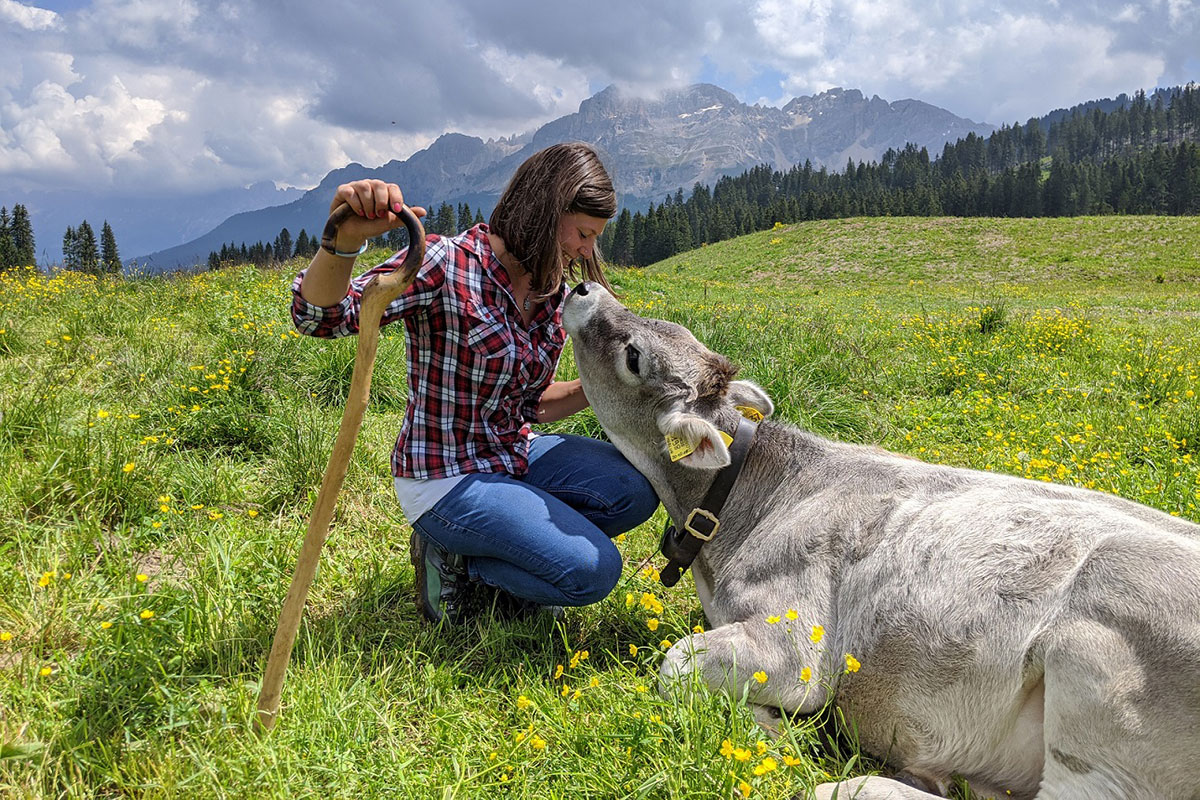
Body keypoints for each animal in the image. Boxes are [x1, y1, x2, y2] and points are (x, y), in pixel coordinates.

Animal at [559, 283, 1200, 800]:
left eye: (634, 356)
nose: (584, 287)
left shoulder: (797, 644)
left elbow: (675, 666)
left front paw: (777, 729)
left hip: (1101, 672)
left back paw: (853, 782)